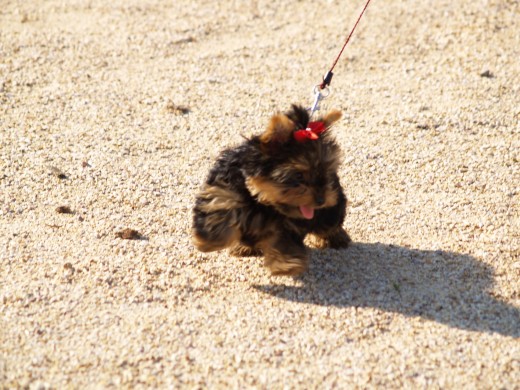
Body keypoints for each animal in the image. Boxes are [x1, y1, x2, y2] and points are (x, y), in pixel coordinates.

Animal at [193, 103, 352, 274]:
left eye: (325, 172)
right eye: (299, 175)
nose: (321, 200)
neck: (262, 202)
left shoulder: (288, 225)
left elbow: (281, 240)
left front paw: (286, 263)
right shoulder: (224, 191)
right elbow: (218, 211)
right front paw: (206, 241)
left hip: (332, 207)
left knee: (330, 222)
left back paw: (337, 237)